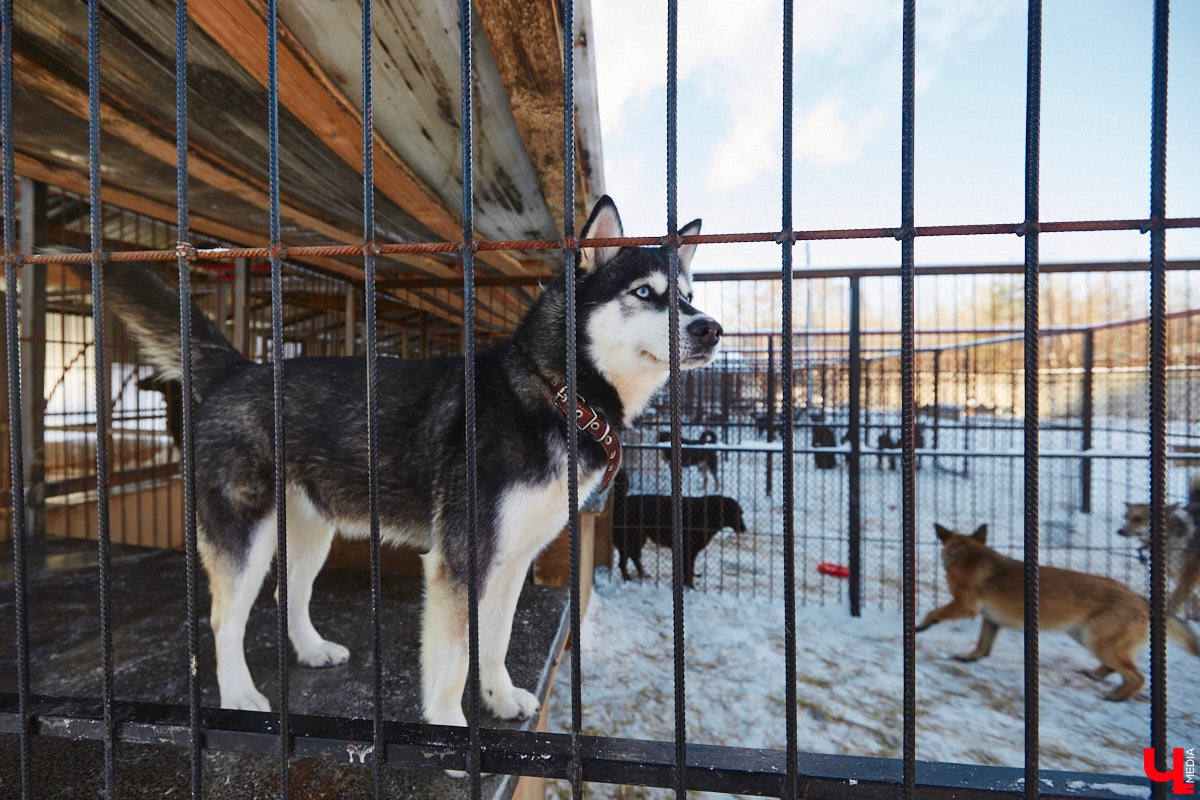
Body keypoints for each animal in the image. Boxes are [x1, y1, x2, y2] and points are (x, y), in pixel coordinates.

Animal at [614, 470, 744, 587]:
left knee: (634, 557)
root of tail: (621, 501)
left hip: (639, 539)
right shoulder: (689, 550)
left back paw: (642, 574)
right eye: (737, 513)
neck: (706, 514)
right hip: (629, 540)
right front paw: (691, 587)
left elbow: (688, 570)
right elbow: (688, 570)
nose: (744, 528)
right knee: (622, 562)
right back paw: (627, 579)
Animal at [912, 522, 1195, 695]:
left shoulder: (964, 606)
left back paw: (1116, 697)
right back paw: (1095, 676)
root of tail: (1140, 598)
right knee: (1118, 668)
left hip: (1098, 642)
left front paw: (921, 626)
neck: (966, 552)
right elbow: (983, 645)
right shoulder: (991, 620)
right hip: (1087, 638)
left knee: (1136, 677)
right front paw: (969, 657)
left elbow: (933, 613)